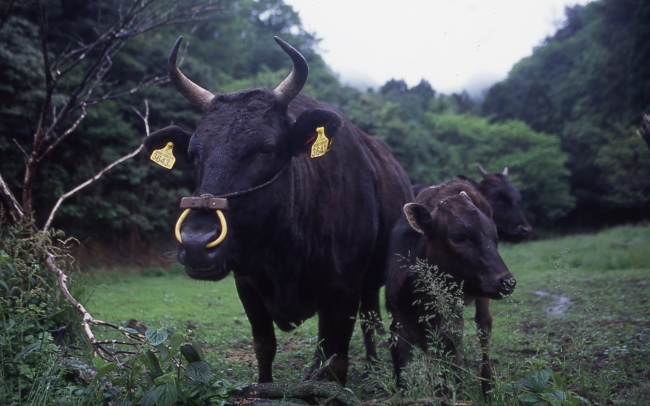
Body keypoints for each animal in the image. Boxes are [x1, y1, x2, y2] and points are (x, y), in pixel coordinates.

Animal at [144, 37, 412, 384]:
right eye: (193, 152)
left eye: (267, 148)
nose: (195, 243)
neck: (285, 252)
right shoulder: (247, 286)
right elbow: (265, 348)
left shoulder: (344, 291)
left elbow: (338, 361)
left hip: (373, 281)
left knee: (370, 321)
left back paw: (372, 364)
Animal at [382, 180, 512, 396]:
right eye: (458, 236)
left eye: (495, 235)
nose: (508, 282)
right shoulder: (398, 324)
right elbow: (403, 376)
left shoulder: (451, 324)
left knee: (484, 326)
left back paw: (487, 384)